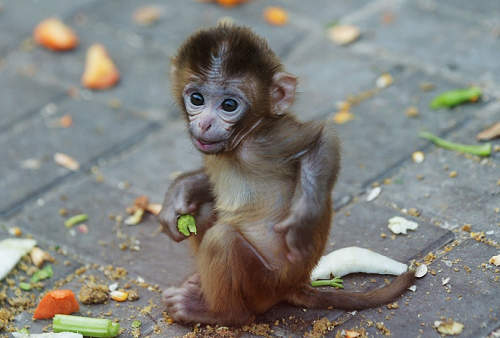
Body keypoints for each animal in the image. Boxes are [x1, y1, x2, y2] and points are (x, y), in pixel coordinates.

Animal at [159, 25, 414, 326]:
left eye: (229, 105)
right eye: (196, 99)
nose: (205, 123)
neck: (241, 142)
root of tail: (294, 285)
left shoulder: (269, 141)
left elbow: (321, 140)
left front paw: (302, 220)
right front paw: (179, 193)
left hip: (264, 284)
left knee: (223, 241)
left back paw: (217, 312)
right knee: (205, 211)